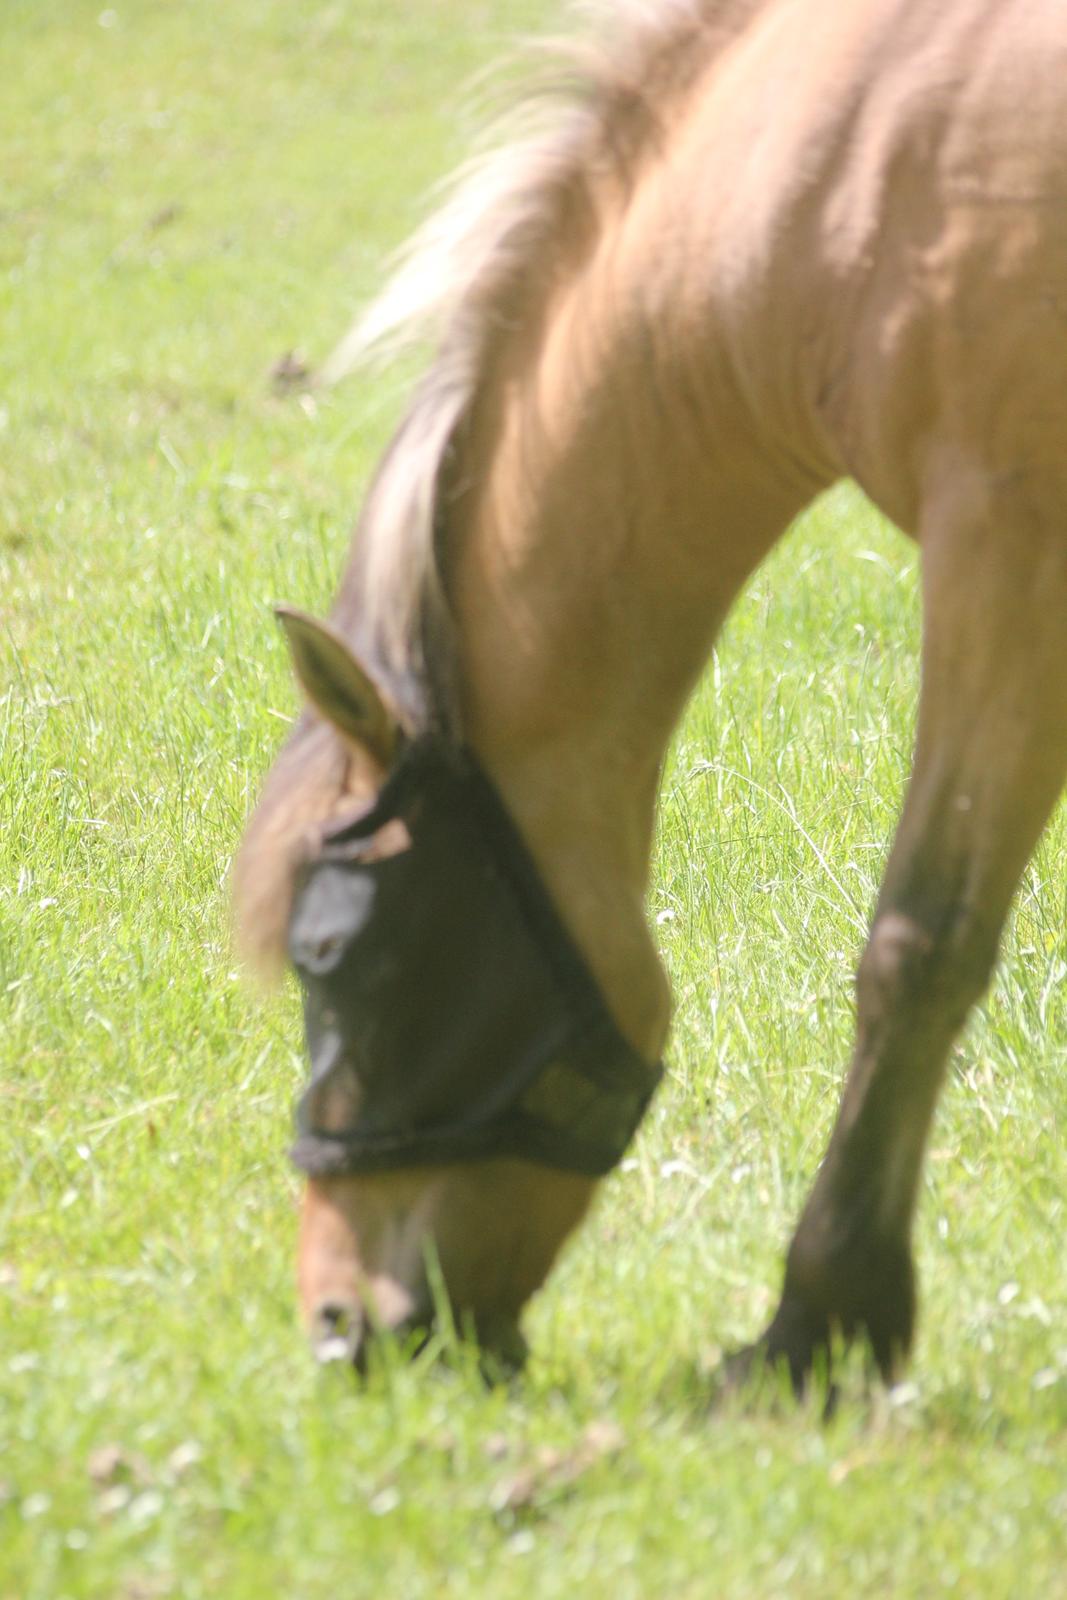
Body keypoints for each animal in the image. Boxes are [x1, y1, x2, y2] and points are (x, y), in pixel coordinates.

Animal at [238, 0, 1067, 1382]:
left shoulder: (1005, 546)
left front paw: (818, 1320)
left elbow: (919, 944)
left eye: (327, 952)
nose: (336, 1327)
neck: (846, 160)